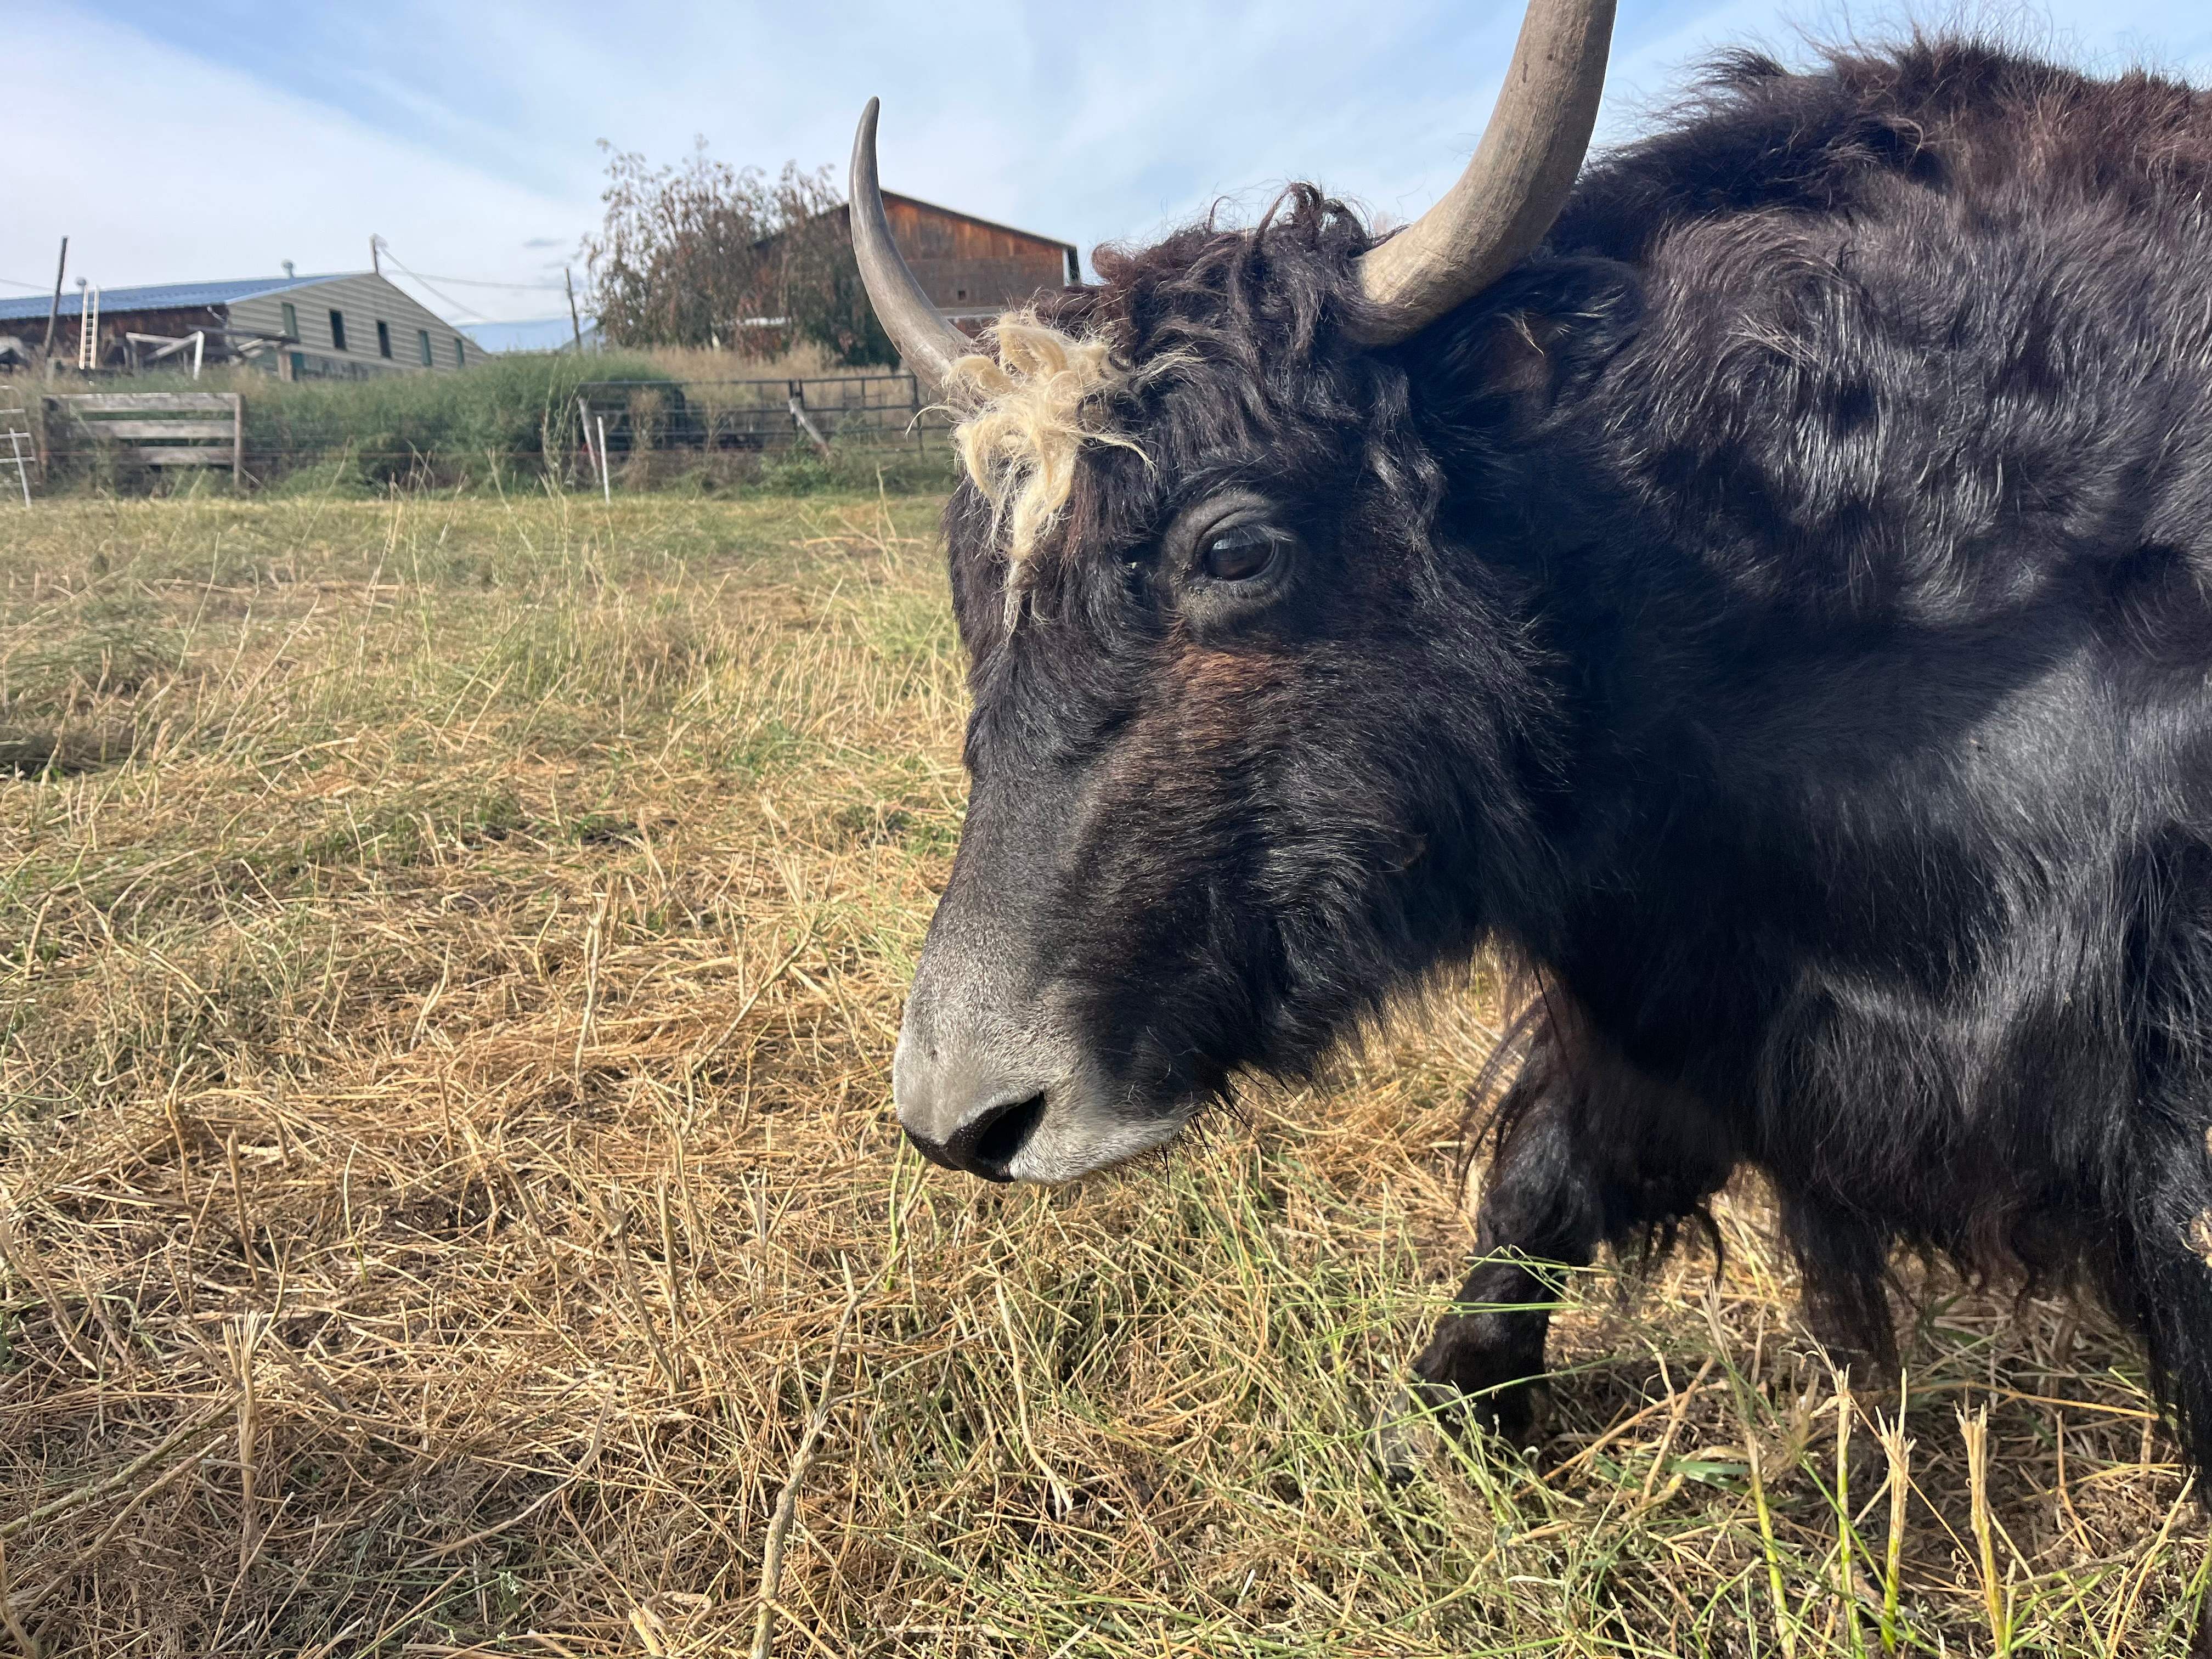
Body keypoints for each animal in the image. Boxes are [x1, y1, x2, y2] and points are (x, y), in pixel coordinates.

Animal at [854, 3, 2212, 1638]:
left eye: (1235, 548)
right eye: (973, 569)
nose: (961, 1117)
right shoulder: (1683, 978)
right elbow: (1544, 1182)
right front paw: (1443, 1411)